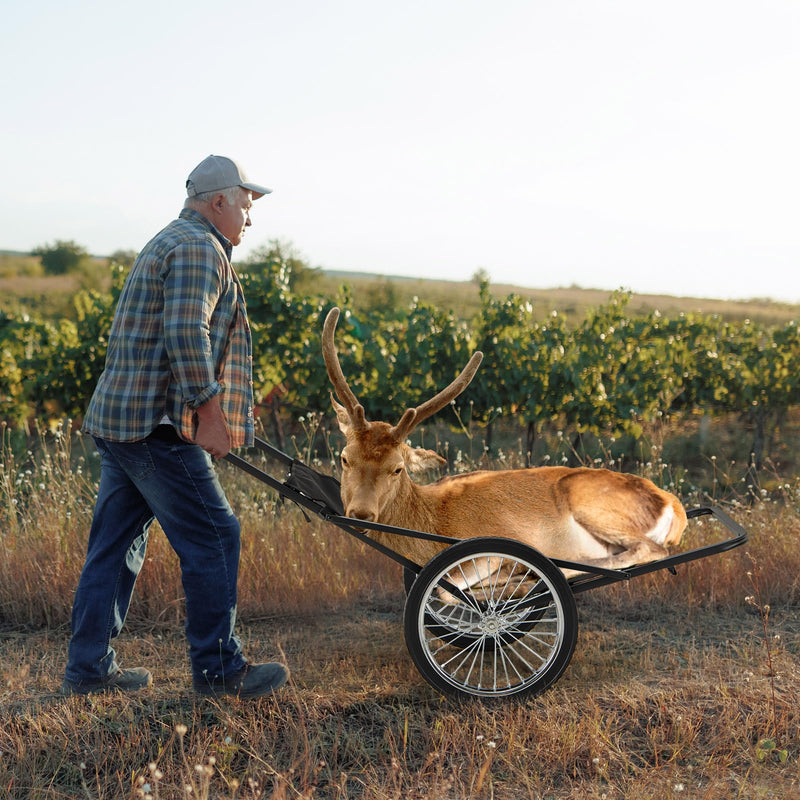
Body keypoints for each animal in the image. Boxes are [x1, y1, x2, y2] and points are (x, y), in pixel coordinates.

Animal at [322, 307, 687, 590]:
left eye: (397, 468)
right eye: (344, 458)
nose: (361, 514)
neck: (432, 527)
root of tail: (672, 503)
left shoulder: (489, 542)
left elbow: (447, 589)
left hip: (593, 503)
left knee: (650, 550)